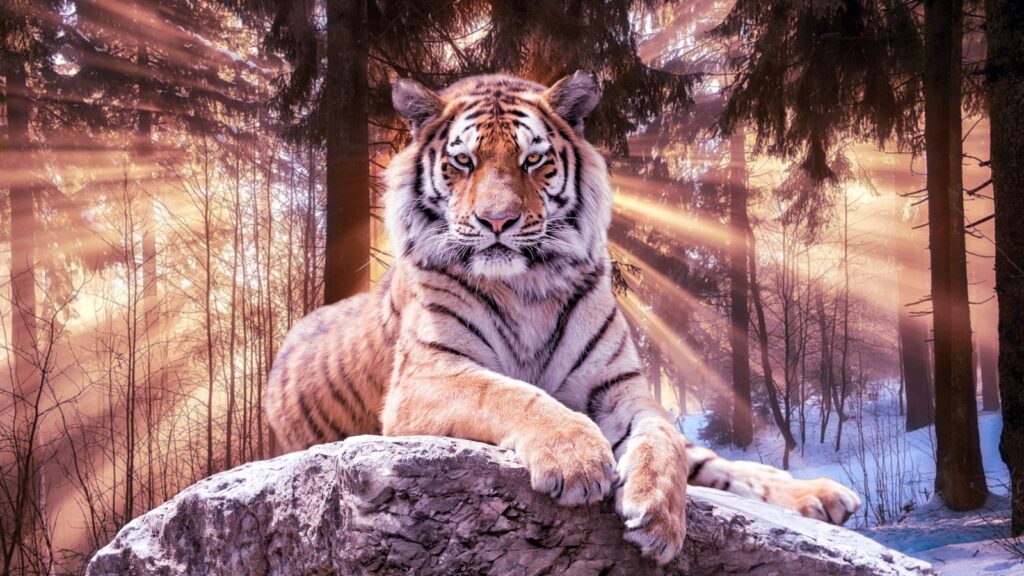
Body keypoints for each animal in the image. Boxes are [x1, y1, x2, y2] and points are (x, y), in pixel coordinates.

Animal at [265, 71, 861, 564]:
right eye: (463, 163)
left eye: (532, 160)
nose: (497, 221)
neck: (527, 286)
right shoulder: (427, 377)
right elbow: (511, 393)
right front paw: (578, 461)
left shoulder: (621, 388)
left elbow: (662, 438)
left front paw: (659, 517)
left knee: (716, 464)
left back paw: (825, 496)